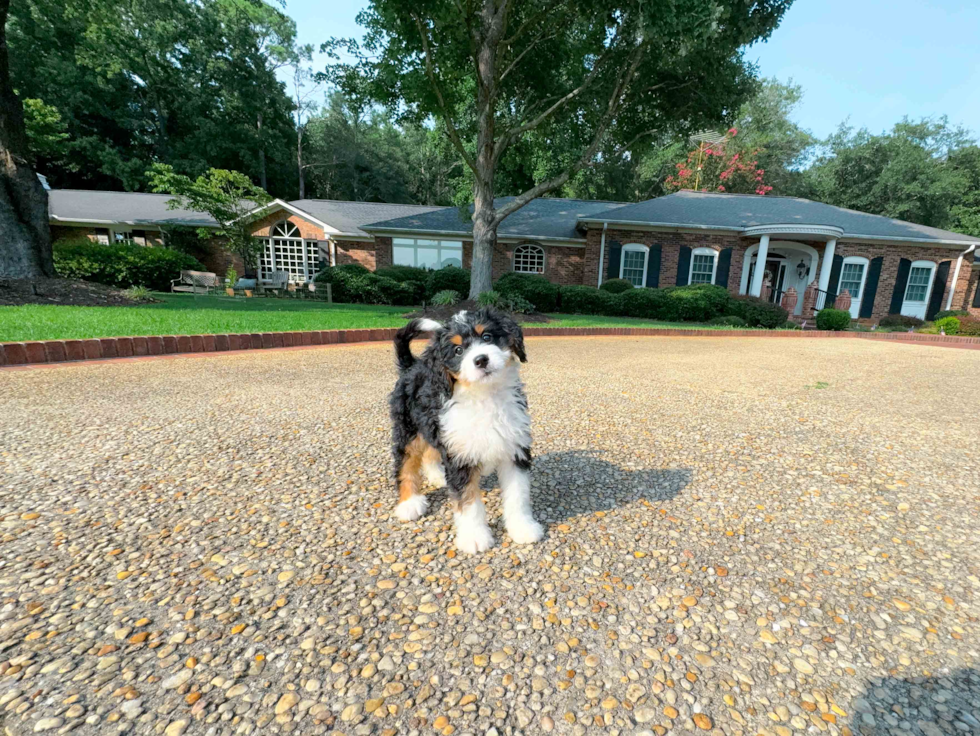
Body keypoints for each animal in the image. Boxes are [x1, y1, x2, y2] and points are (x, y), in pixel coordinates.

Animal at [388, 306, 544, 552]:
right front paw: (475, 537)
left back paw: (437, 476)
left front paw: (522, 528)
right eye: (458, 350)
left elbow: (518, 494)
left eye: (487, 337)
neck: (485, 396)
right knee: (406, 463)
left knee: (431, 451)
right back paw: (409, 503)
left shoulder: (514, 449)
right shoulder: (460, 456)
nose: (481, 360)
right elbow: (468, 501)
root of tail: (411, 366)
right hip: (408, 428)